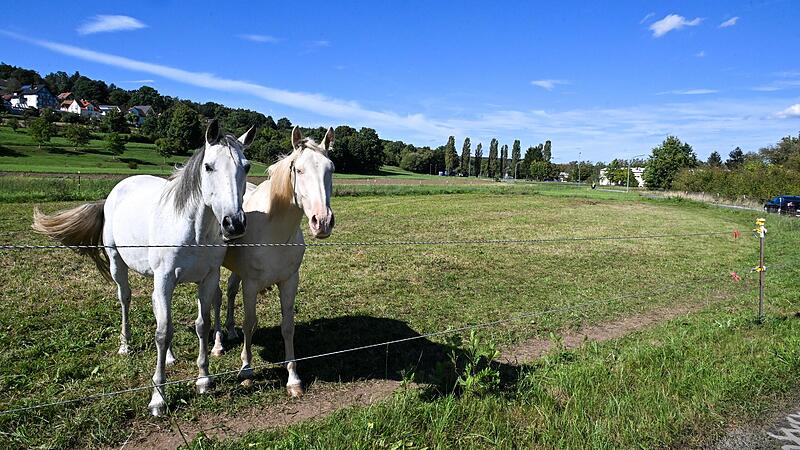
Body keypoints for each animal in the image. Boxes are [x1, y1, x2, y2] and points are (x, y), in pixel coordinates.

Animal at [32, 120, 255, 416]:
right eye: (208, 166)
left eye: (247, 166)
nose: (234, 224)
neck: (194, 230)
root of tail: (115, 192)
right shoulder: (165, 279)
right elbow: (162, 332)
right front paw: (158, 397)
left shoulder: (207, 279)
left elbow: (201, 325)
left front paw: (203, 380)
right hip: (119, 264)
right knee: (126, 299)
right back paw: (125, 345)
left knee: (156, 309)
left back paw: (170, 357)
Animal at [213, 126, 335, 397]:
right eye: (298, 170)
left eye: (331, 168)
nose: (322, 221)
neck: (274, 231)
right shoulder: (251, 284)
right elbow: (250, 323)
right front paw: (246, 371)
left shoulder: (289, 281)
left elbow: (287, 326)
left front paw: (293, 380)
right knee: (214, 300)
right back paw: (217, 345)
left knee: (229, 291)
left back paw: (230, 331)